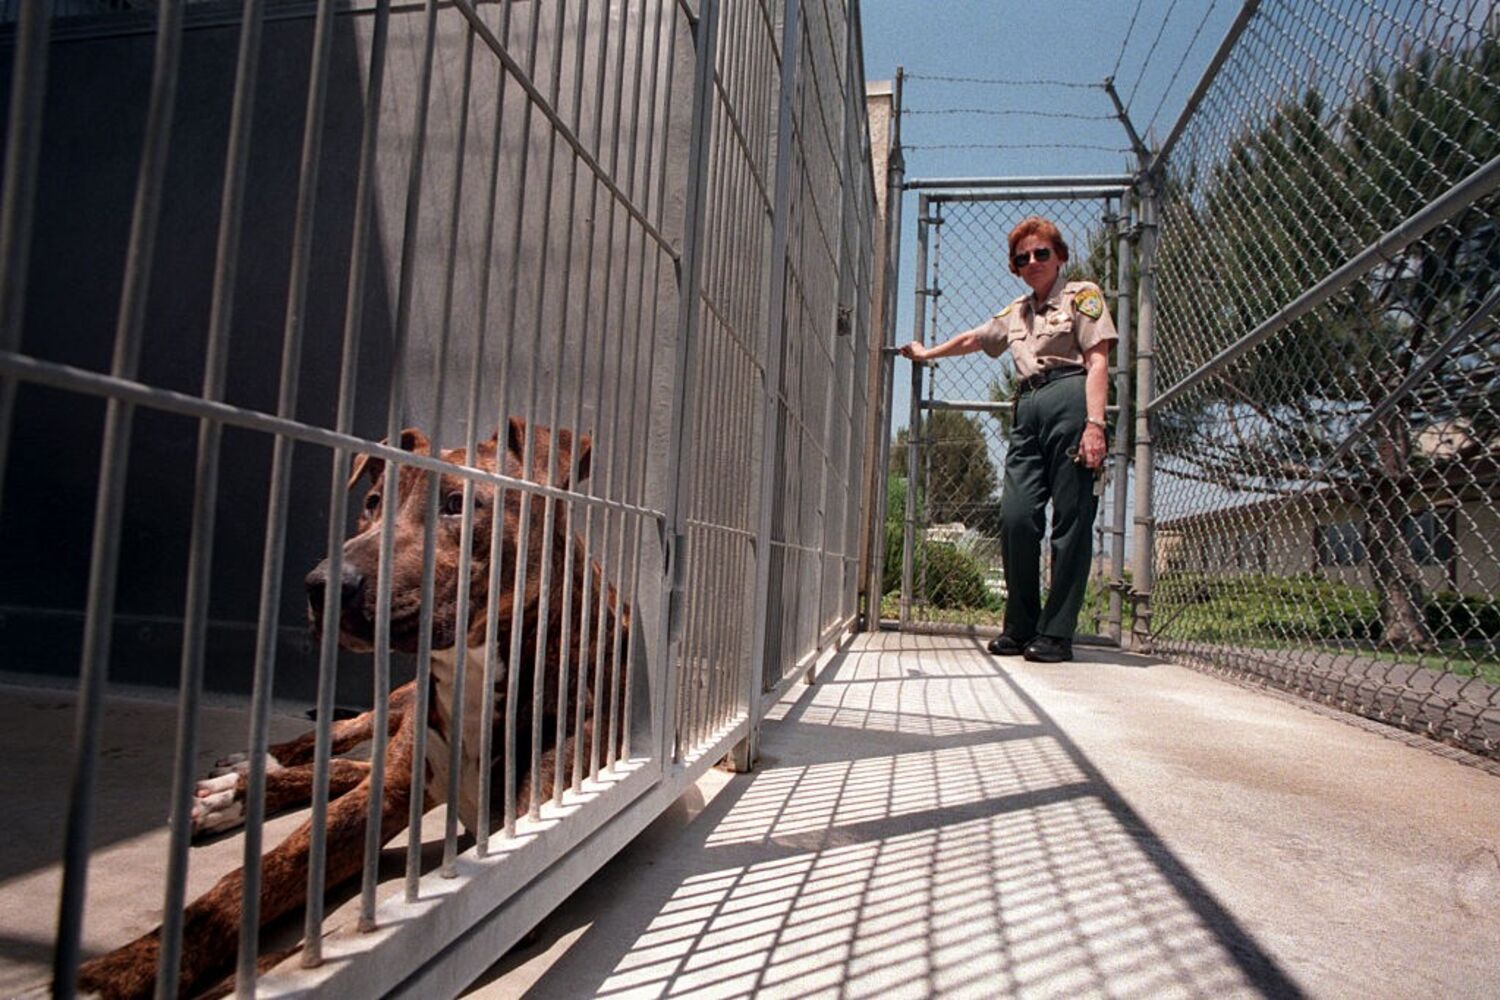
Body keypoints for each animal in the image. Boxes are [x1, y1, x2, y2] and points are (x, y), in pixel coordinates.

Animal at [72, 418, 631, 999]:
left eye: (458, 504)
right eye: (372, 502)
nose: (324, 585)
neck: (475, 672)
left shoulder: (522, 831)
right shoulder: (393, 786)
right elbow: (258, 876)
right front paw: (122, 969)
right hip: (399, 702)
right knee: (347, 747)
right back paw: (246, 778)